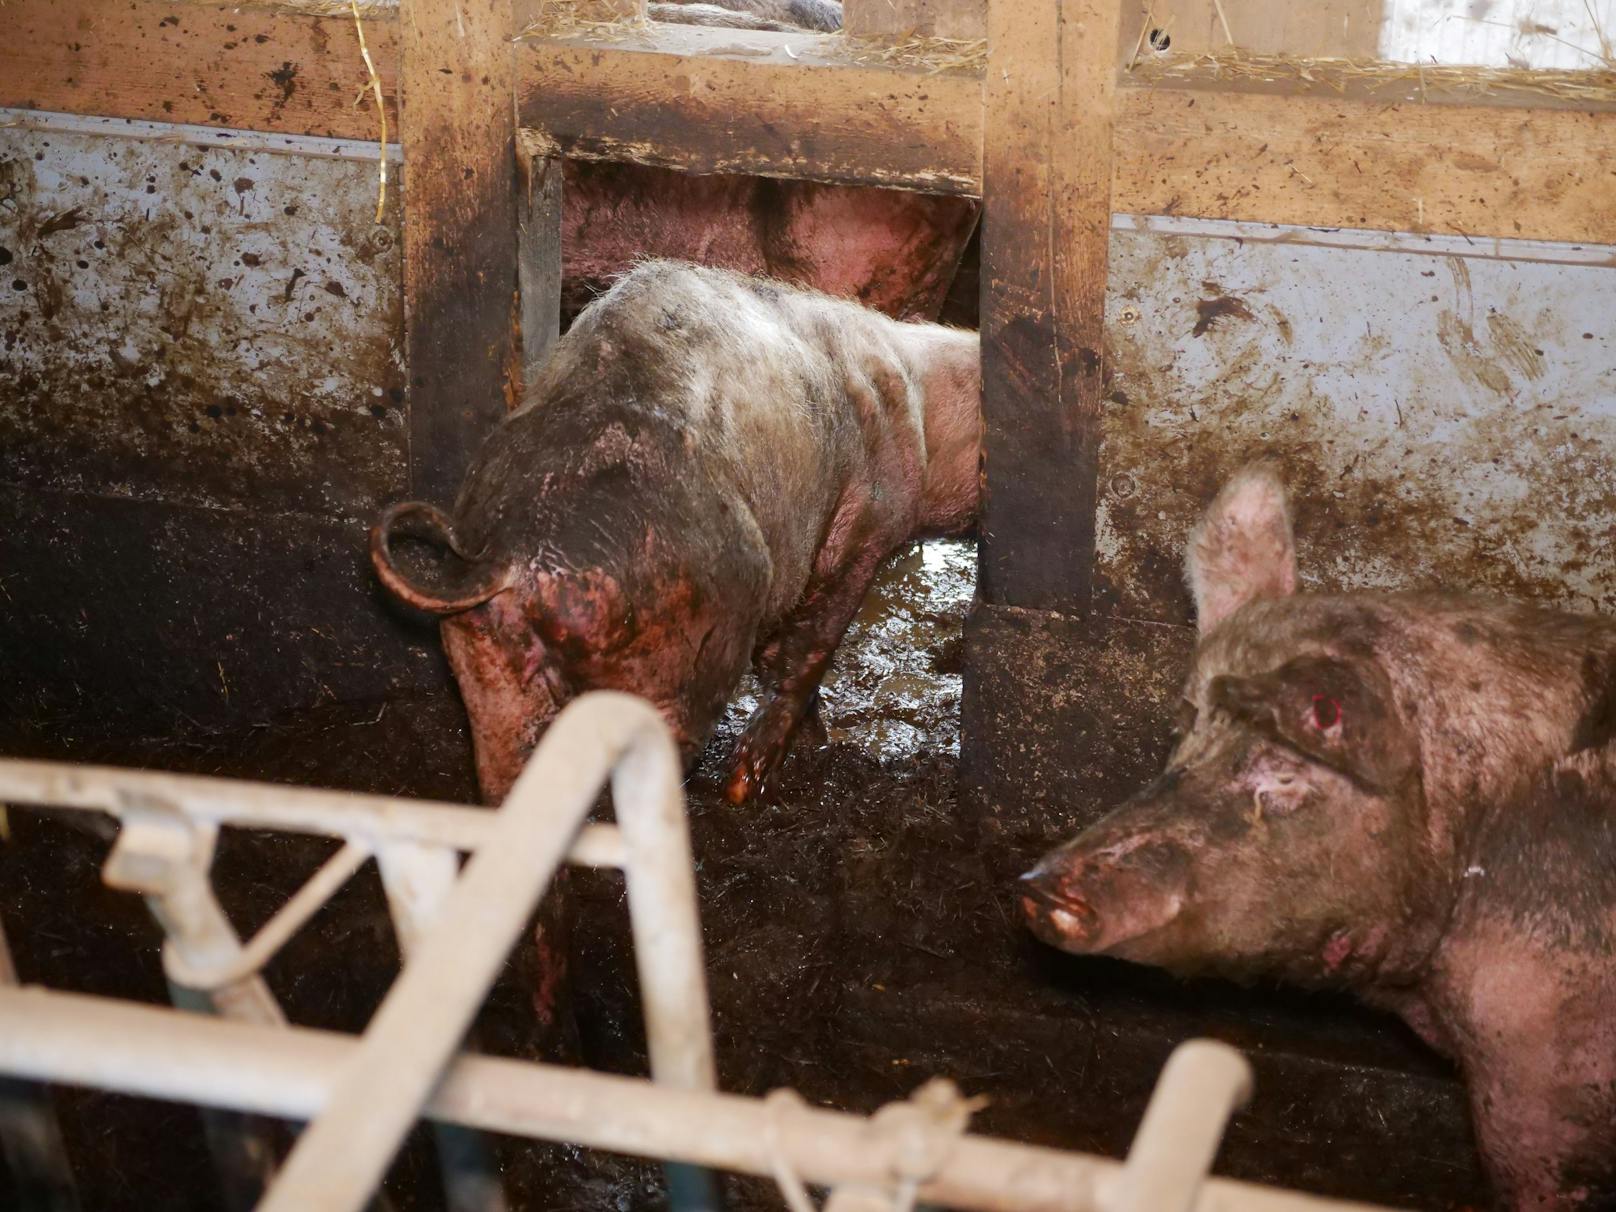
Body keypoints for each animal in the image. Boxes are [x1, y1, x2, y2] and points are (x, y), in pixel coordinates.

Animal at [371, 261, 976, 808]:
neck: (922, 407)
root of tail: (512, 556)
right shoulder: (871, 521)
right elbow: (811, 646)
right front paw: (748, 785)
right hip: (668, 655)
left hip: (486, 667)